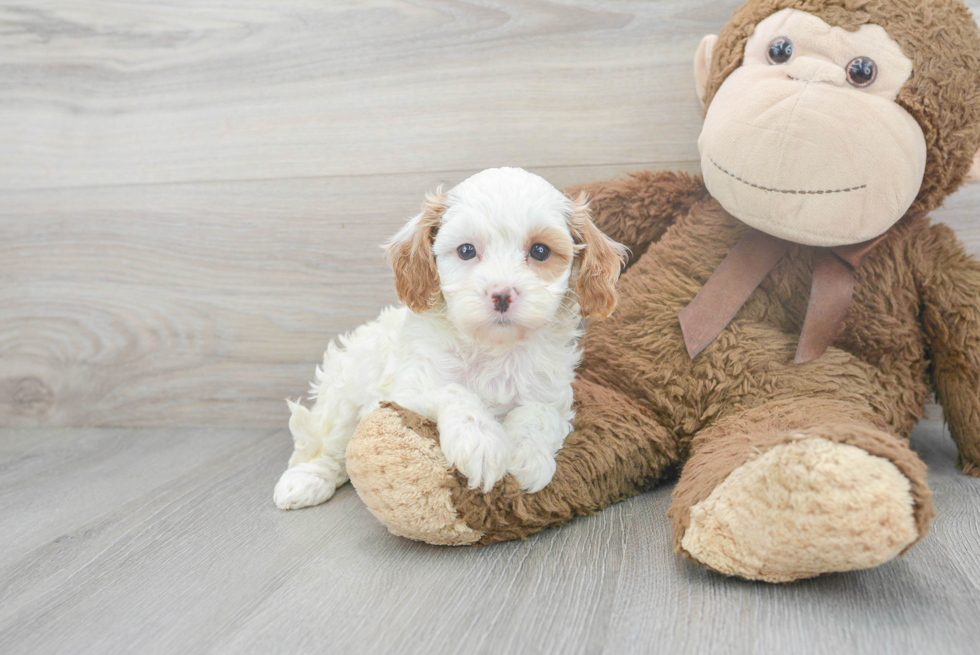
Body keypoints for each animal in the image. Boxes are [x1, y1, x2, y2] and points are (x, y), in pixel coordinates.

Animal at [274, 167, 628, 510]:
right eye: (466, 251)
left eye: (540, 251)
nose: (502, 294)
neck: (495, 348)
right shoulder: (407, 390)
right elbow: (454, 391)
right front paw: (481, 444)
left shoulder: (554, 396)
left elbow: (538, 414)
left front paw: (527, 454)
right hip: (345, 391)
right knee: (328, 446)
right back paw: (306, 480)